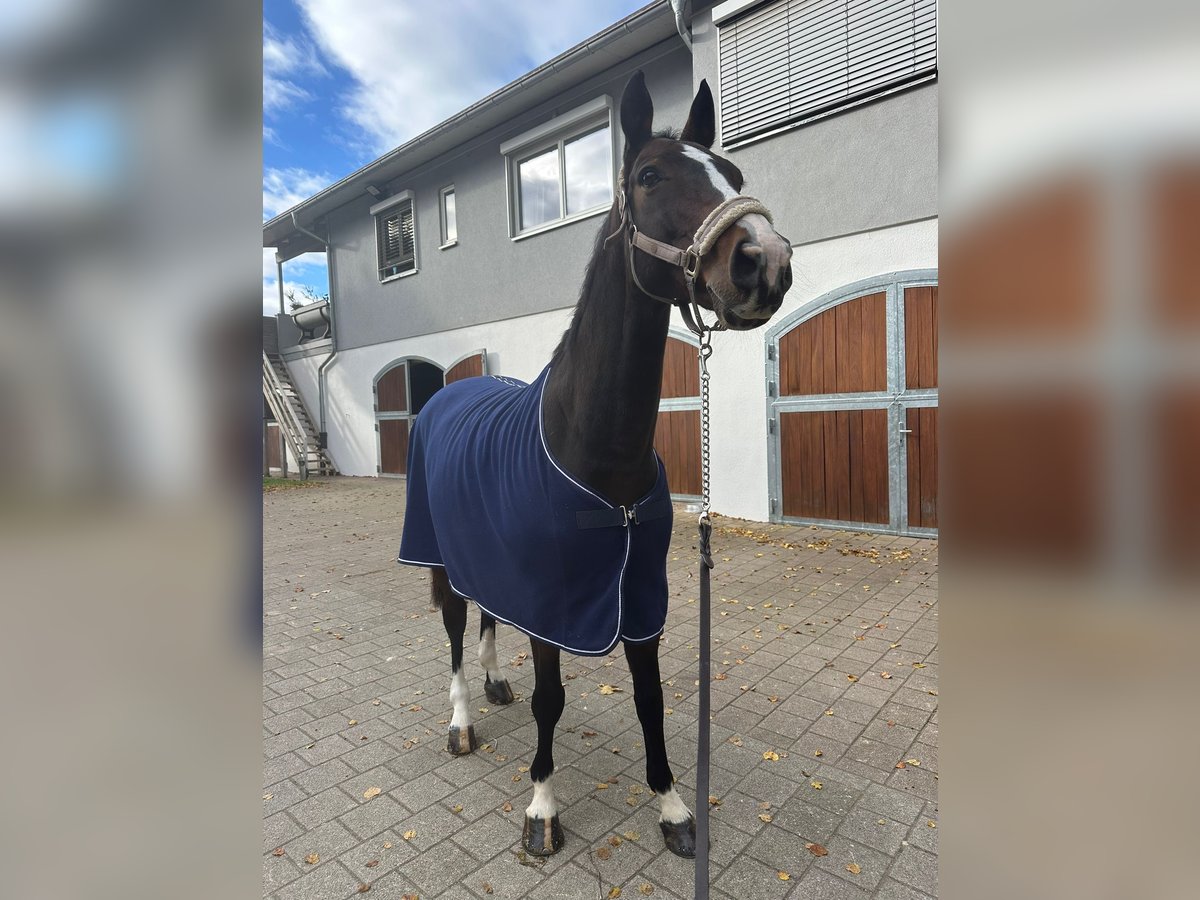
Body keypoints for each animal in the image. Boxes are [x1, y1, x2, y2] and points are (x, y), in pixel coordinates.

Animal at [397, 71, 793, 859]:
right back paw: (462, 721)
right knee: (455, 630)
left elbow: (651, 697)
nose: (764, 260)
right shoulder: (553, 601)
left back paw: (493, 684)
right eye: (649, 177)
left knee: (487, 615)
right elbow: (551, 698)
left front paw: (672, 808)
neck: (597, 455)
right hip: (440, 557)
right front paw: (542, 808)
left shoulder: (638, 596)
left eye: (732, 176)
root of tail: (448, 393)